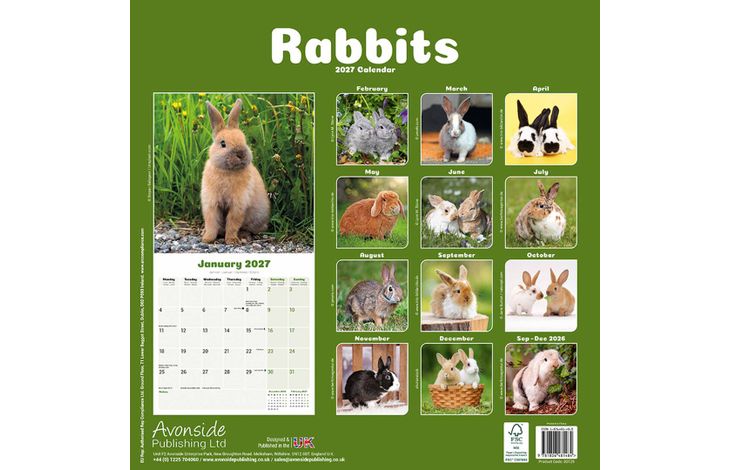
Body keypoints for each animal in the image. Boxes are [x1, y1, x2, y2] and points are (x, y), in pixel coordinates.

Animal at [200, 99, 270, 245]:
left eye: (244, 140)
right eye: (223, 144)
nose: (241, 154)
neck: (227, 171)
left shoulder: (238, 205)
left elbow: (233, 223)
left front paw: (231, 240)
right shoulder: (211, 203)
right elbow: (211, 222)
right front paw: (207, 239)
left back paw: (243, 236)